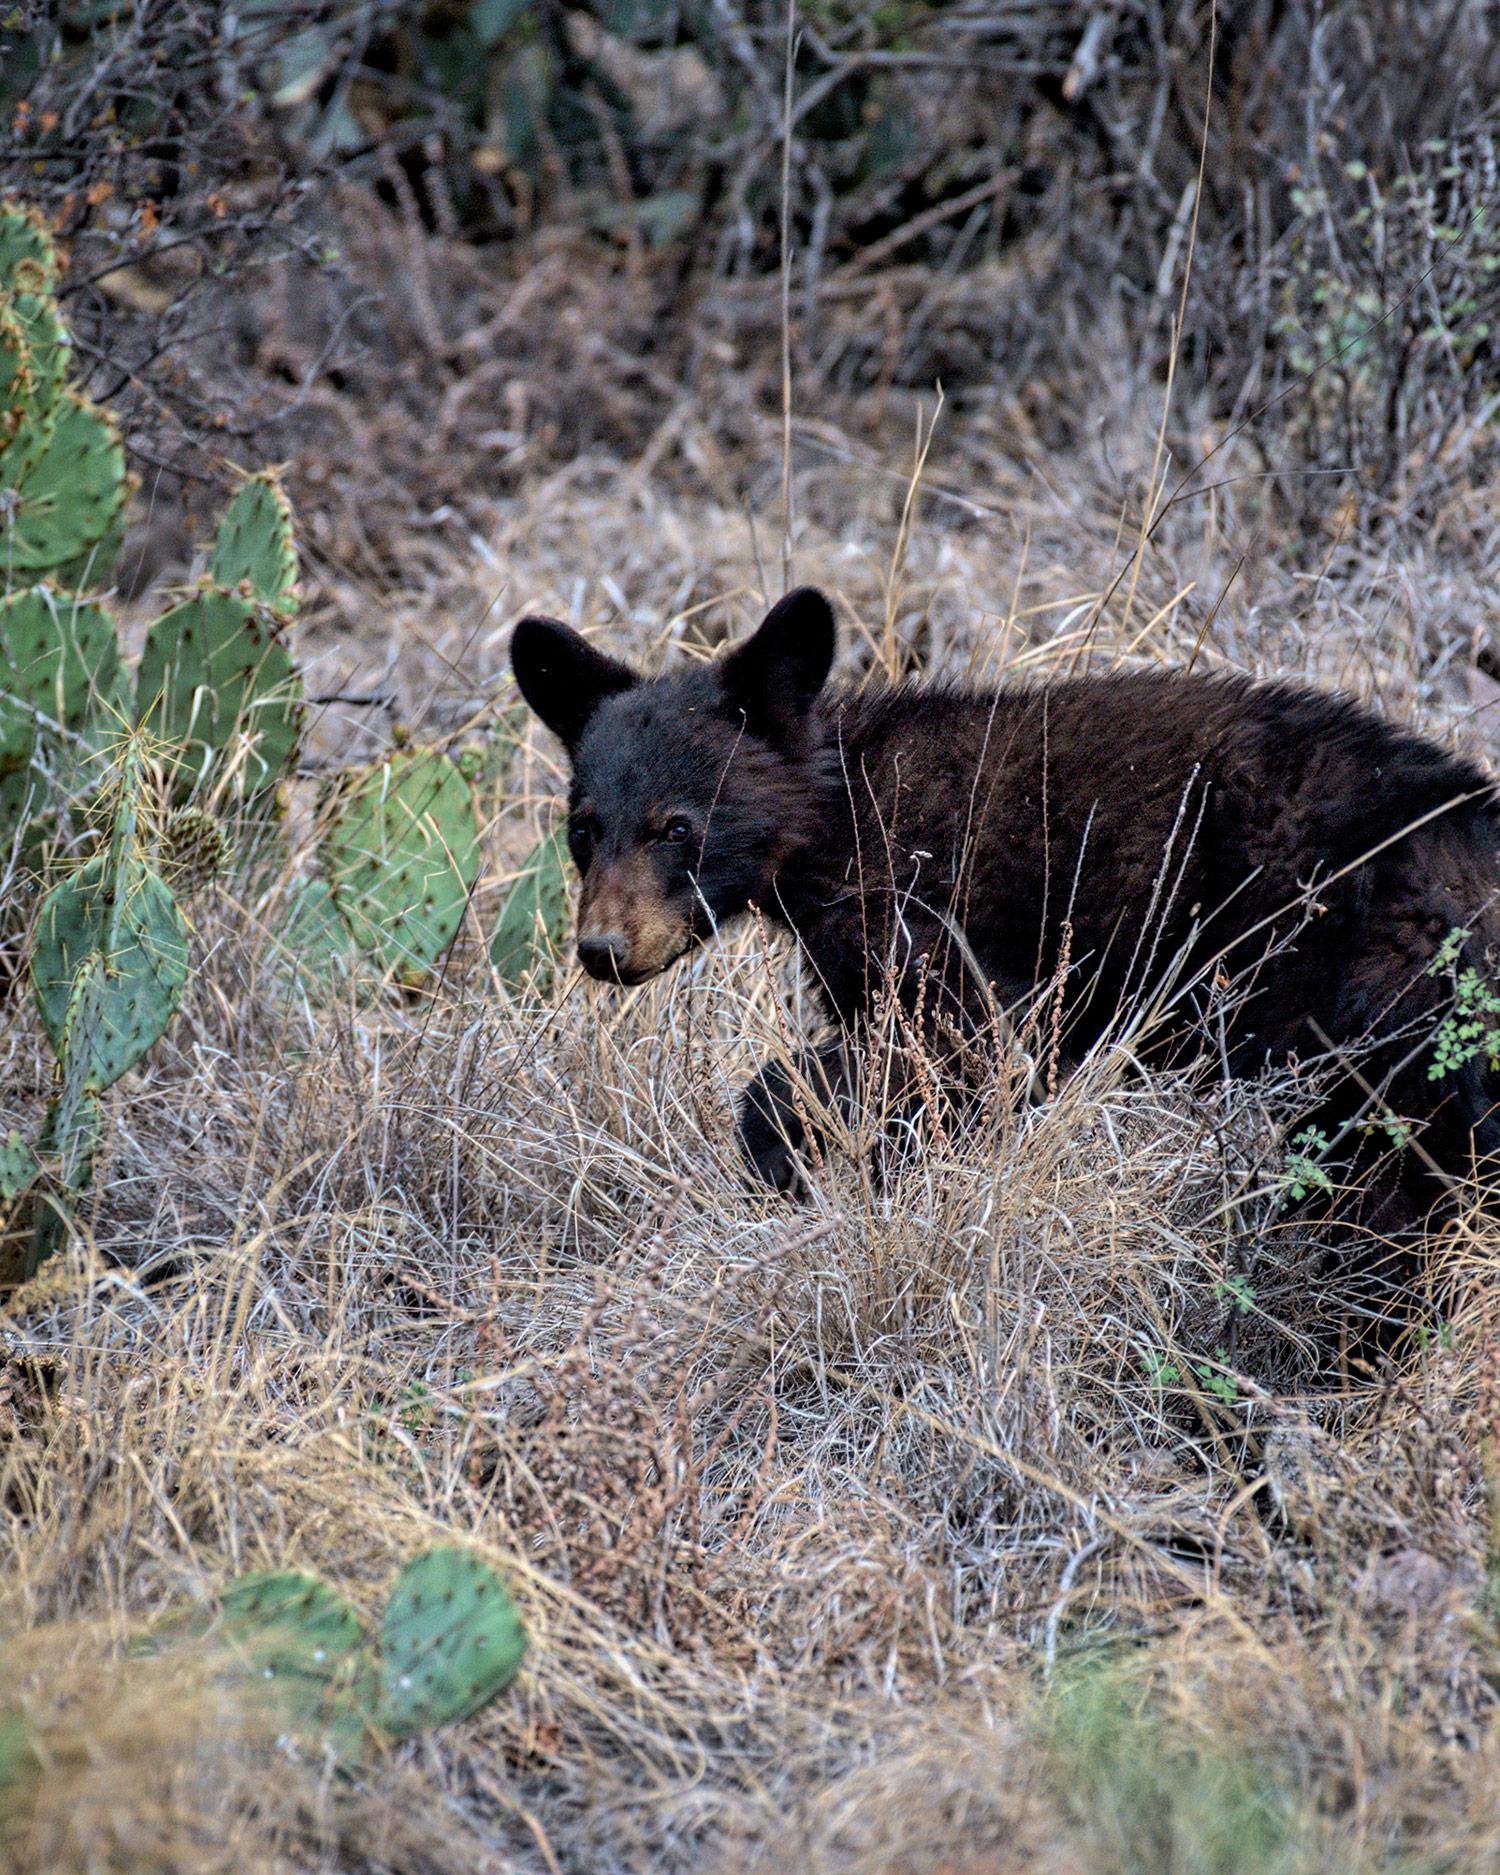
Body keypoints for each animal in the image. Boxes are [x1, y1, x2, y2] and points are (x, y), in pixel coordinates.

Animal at [511, 585, 1500, 1259]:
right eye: (581, 827)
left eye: (678, 825)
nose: (603, 949)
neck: (835, 819)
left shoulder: (942, 920)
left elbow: (968, 1046)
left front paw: (796, 1170)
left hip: (1375, 1000)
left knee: (1387, 1183)